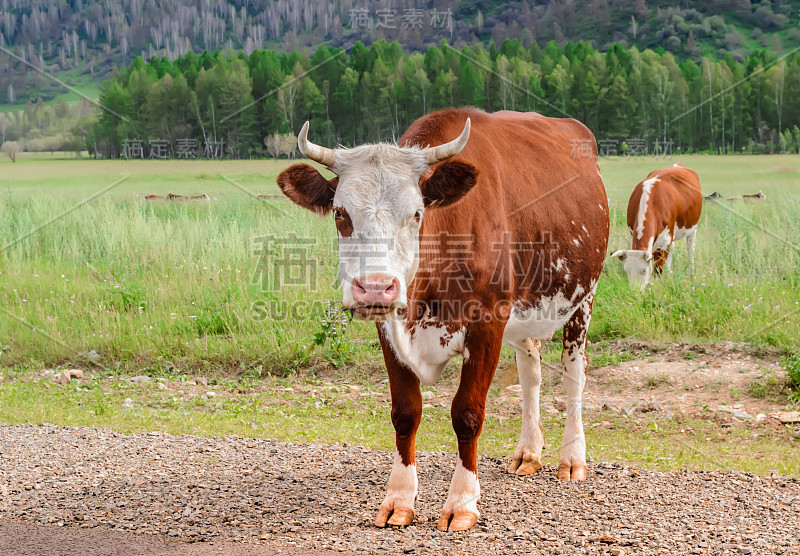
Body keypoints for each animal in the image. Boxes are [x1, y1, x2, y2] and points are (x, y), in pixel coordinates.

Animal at [276, 107, 608, 528]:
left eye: (417, 213)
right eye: (340, 213)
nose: (375, 288)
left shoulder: (487, 324)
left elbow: (467, 414)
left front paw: (462, 503)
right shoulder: (390, 328)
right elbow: (405, 413)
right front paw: (399, 498)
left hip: (584, 296)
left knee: (574, 372)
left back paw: (572, 457)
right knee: (530, 368)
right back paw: (528, 451)